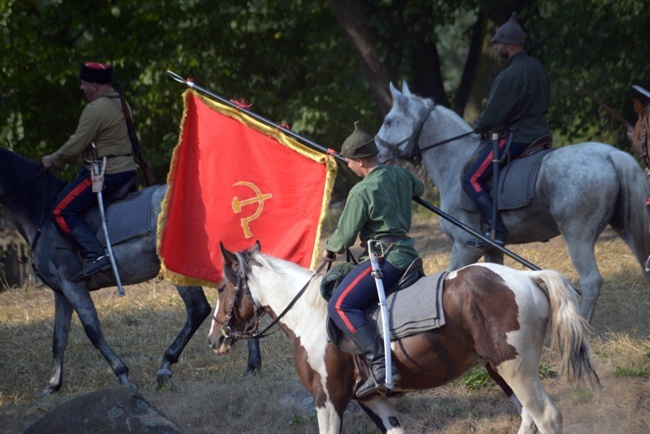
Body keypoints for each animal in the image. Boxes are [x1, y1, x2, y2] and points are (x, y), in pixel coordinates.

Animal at [0, 147, 258, 396]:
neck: (41, 212)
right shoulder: (61, 292)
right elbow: (59, 338)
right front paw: (53, 384)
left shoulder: (73, 286)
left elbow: (93, 331)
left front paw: (122, 374)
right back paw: (252, 365)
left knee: (198, 309)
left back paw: (167, 364)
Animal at [372, 81, 648, 320]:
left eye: (388, 121)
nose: (378, 154)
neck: (455, 158)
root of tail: (611, 154)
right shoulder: (492, 248)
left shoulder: (465, 246)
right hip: (623, 227)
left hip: (577, 235)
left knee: (591, 281)